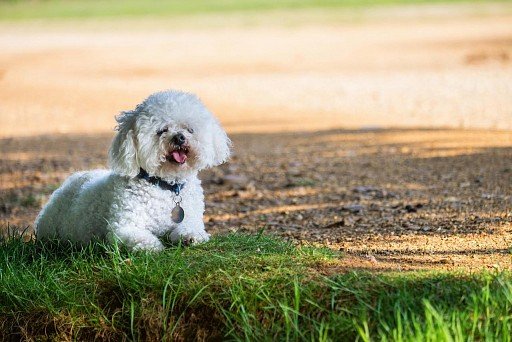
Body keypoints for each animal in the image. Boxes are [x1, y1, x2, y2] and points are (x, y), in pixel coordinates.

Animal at [37, 91, 233, 251]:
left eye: (189, 129)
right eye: (162, 130)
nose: (179, 137)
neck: (166, 186)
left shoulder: (191, 218)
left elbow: (191, 228)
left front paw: (190, 237)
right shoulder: (123, 227)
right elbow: (141, 238)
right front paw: (154, 246)